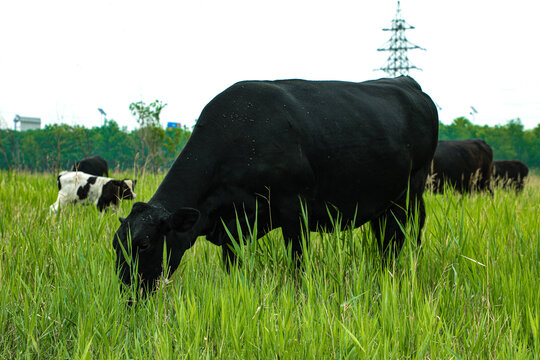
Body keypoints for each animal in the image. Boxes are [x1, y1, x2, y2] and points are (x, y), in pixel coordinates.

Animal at [113, 75, 438, 296]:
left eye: (144, 244)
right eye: (116, 245)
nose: (127, 294)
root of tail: (404, 82)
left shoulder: (294, 210)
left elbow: (297, 264)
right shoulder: (232, 225)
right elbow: (233, 268)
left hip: (411, 192)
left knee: (405, 238)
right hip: (384, 202)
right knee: (386, 240)